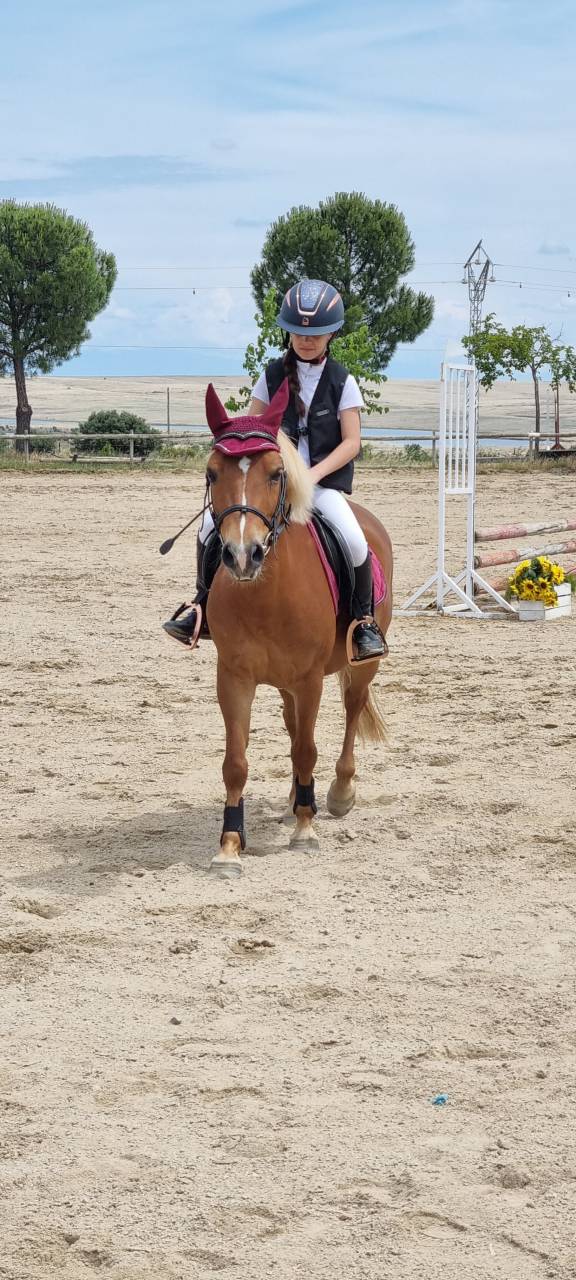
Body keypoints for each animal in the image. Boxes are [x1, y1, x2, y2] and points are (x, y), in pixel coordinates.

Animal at [198, 380, 393, 877]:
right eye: (211, 473)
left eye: (274, 473)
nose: (241, 556)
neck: (265, 593)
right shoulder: (234, 678)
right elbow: (236, 762)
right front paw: (229, 846)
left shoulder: (309, 680)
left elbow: (308, 749)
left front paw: (306, 829)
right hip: (284, 684)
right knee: (291, 728)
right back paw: (293, 798)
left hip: (359, 668)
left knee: (349, 714)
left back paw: (338, 794)